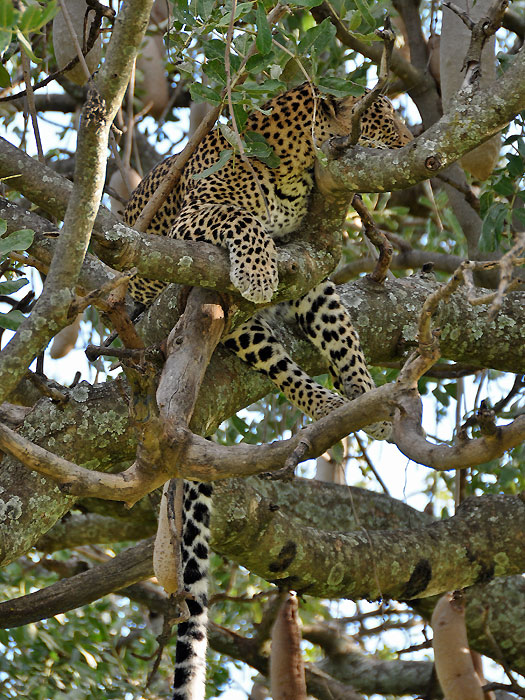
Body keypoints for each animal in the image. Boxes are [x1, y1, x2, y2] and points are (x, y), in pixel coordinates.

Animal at [123, 82, 412, 700]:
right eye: (386, 123)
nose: (412, 143)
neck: (293, 171)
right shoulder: (197, 218)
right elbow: (240, 221)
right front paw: (258, 273)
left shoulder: (308, 264)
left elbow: (341, 329)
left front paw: (365, 392)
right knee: (270, 354)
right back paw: (325, 403)